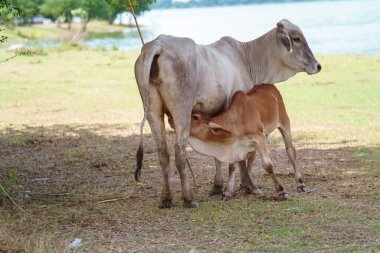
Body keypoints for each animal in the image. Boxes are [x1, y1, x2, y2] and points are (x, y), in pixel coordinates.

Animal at [134, 19, 320, 208]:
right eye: (296, 39)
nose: (317, 66)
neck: (246, 57)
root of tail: (158, 45)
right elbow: (245, 155)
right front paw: (249, 186)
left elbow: (221, 156)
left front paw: (218, 187)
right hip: (182, 109)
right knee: (179, 151)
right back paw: (189, 198)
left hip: (152, 110)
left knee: (162, 152)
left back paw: (166, 199)